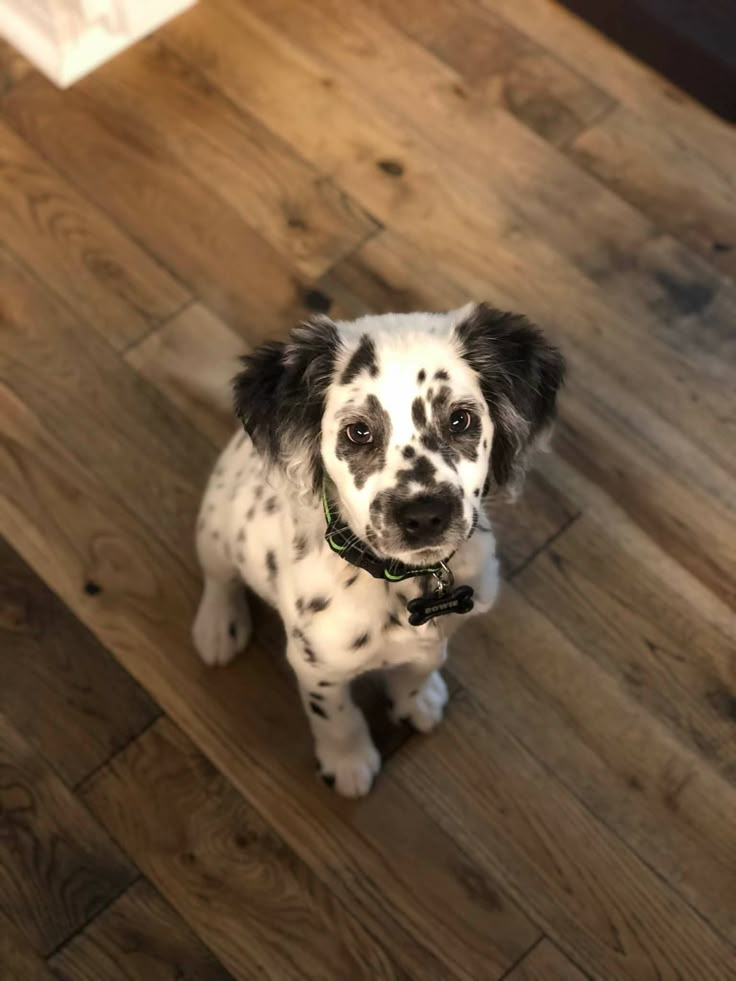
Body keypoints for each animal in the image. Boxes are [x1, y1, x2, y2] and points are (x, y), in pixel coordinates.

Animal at [191, 300, 564, 796]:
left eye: (460, 420)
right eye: (358, 433)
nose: (424, 516)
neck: (400, 582)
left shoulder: (442, 630)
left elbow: (423, 664)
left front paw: (417, 699)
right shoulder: (316, 666)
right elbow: (336, 717)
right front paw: (348, 762)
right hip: (216, 524)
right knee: (219, 577)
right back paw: (218, 626)